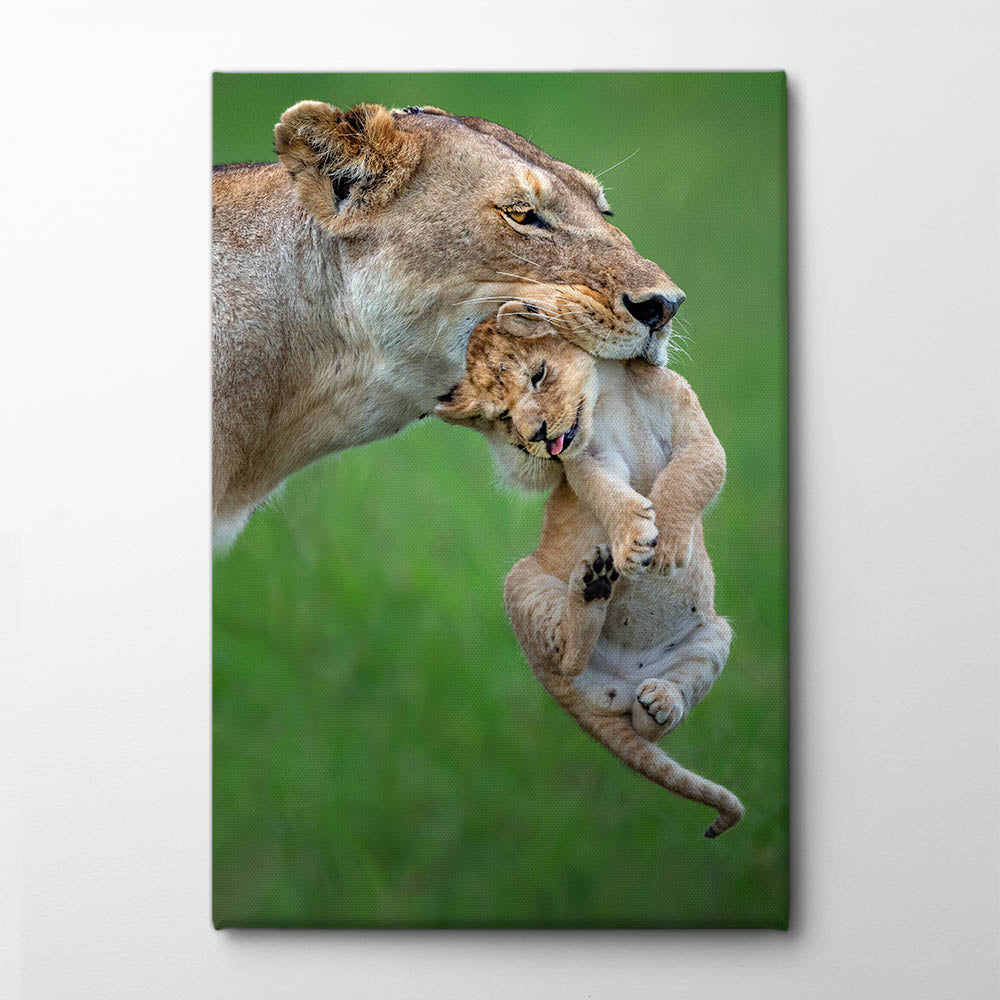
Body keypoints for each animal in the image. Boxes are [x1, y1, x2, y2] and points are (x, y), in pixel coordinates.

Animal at [436, 310, 743, 837]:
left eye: (538, 375)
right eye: (502, 416)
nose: (539, 436)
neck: (613, 391)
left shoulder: (694, 429)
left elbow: (692, 473)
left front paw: (669, 544)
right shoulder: (587, 460)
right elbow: (605, 491)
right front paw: (635, 541)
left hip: (714, 633)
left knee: (651, 725)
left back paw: (661, 700)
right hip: (522, 581)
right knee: (569, 657)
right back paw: (594, 586)